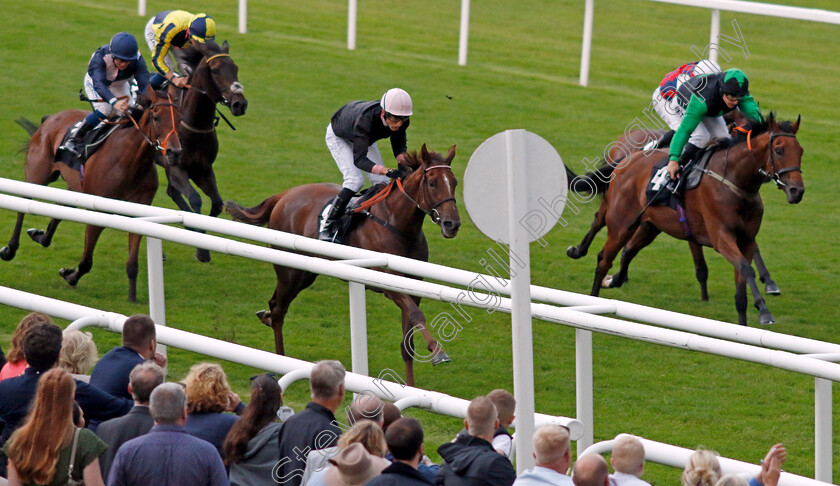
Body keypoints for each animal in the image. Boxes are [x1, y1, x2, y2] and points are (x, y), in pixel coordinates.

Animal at [3, 85, 181, 302]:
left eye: (179, 118)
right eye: (156, 117)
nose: (174, 152)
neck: (130, 161)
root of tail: (51, 118)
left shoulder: (139, 211)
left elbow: (132, 262)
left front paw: (132, 297)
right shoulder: (99, 210)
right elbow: (87, 260)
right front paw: (70, 275)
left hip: (74, 187)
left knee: (60, 210)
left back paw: (41, 236)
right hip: (38, 175)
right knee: (23, 205)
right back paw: (10, 249)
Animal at [162, 40, 246, 262]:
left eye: (235, 68)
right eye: (215, 70)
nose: (240, 104)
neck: (193, 126)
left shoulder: (204, 169)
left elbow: (216, 204)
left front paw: (203, 242)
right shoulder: (176, 168)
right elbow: (195, 200)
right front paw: (201, 247)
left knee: (172, 191)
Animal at [228, 143, 460, 384]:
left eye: (454, 183)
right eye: (432, 183)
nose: (452, 224)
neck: (398, 225)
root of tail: (285, 194)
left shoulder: (414, 286)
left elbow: (409, 340)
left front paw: (411, 385)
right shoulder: (387, 282)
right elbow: (417, 315)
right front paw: (438, 352)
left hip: (306, 273)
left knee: (275, 307)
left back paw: (266, 323)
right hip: (290, 271)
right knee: (278, 310)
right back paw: (280, 361)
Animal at [580, 115, 804, 326]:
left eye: (801, 151)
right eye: (779, 150)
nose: (797, 191)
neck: (734, 182)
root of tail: (627, 159)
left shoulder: (746, 240)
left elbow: (742, 286)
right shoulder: (721, 238)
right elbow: (746, 269)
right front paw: (765, 312)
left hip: (650, 225)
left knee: (626, 251)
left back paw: (612, 280)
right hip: (621, 224)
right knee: (603, 258)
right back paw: (592, 294)